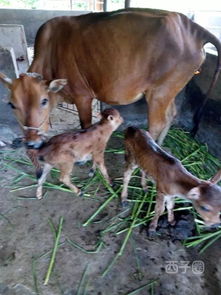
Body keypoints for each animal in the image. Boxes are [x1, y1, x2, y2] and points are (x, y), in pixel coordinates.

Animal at [0, 8, 221, 153]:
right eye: (11, 104)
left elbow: (85, 125)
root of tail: (192, 27)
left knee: (157, 123)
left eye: (43, 101)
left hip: (159, 92)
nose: (30, 143)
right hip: (168, 90)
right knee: (171, 114)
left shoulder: (82, 96)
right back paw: (162, 146)